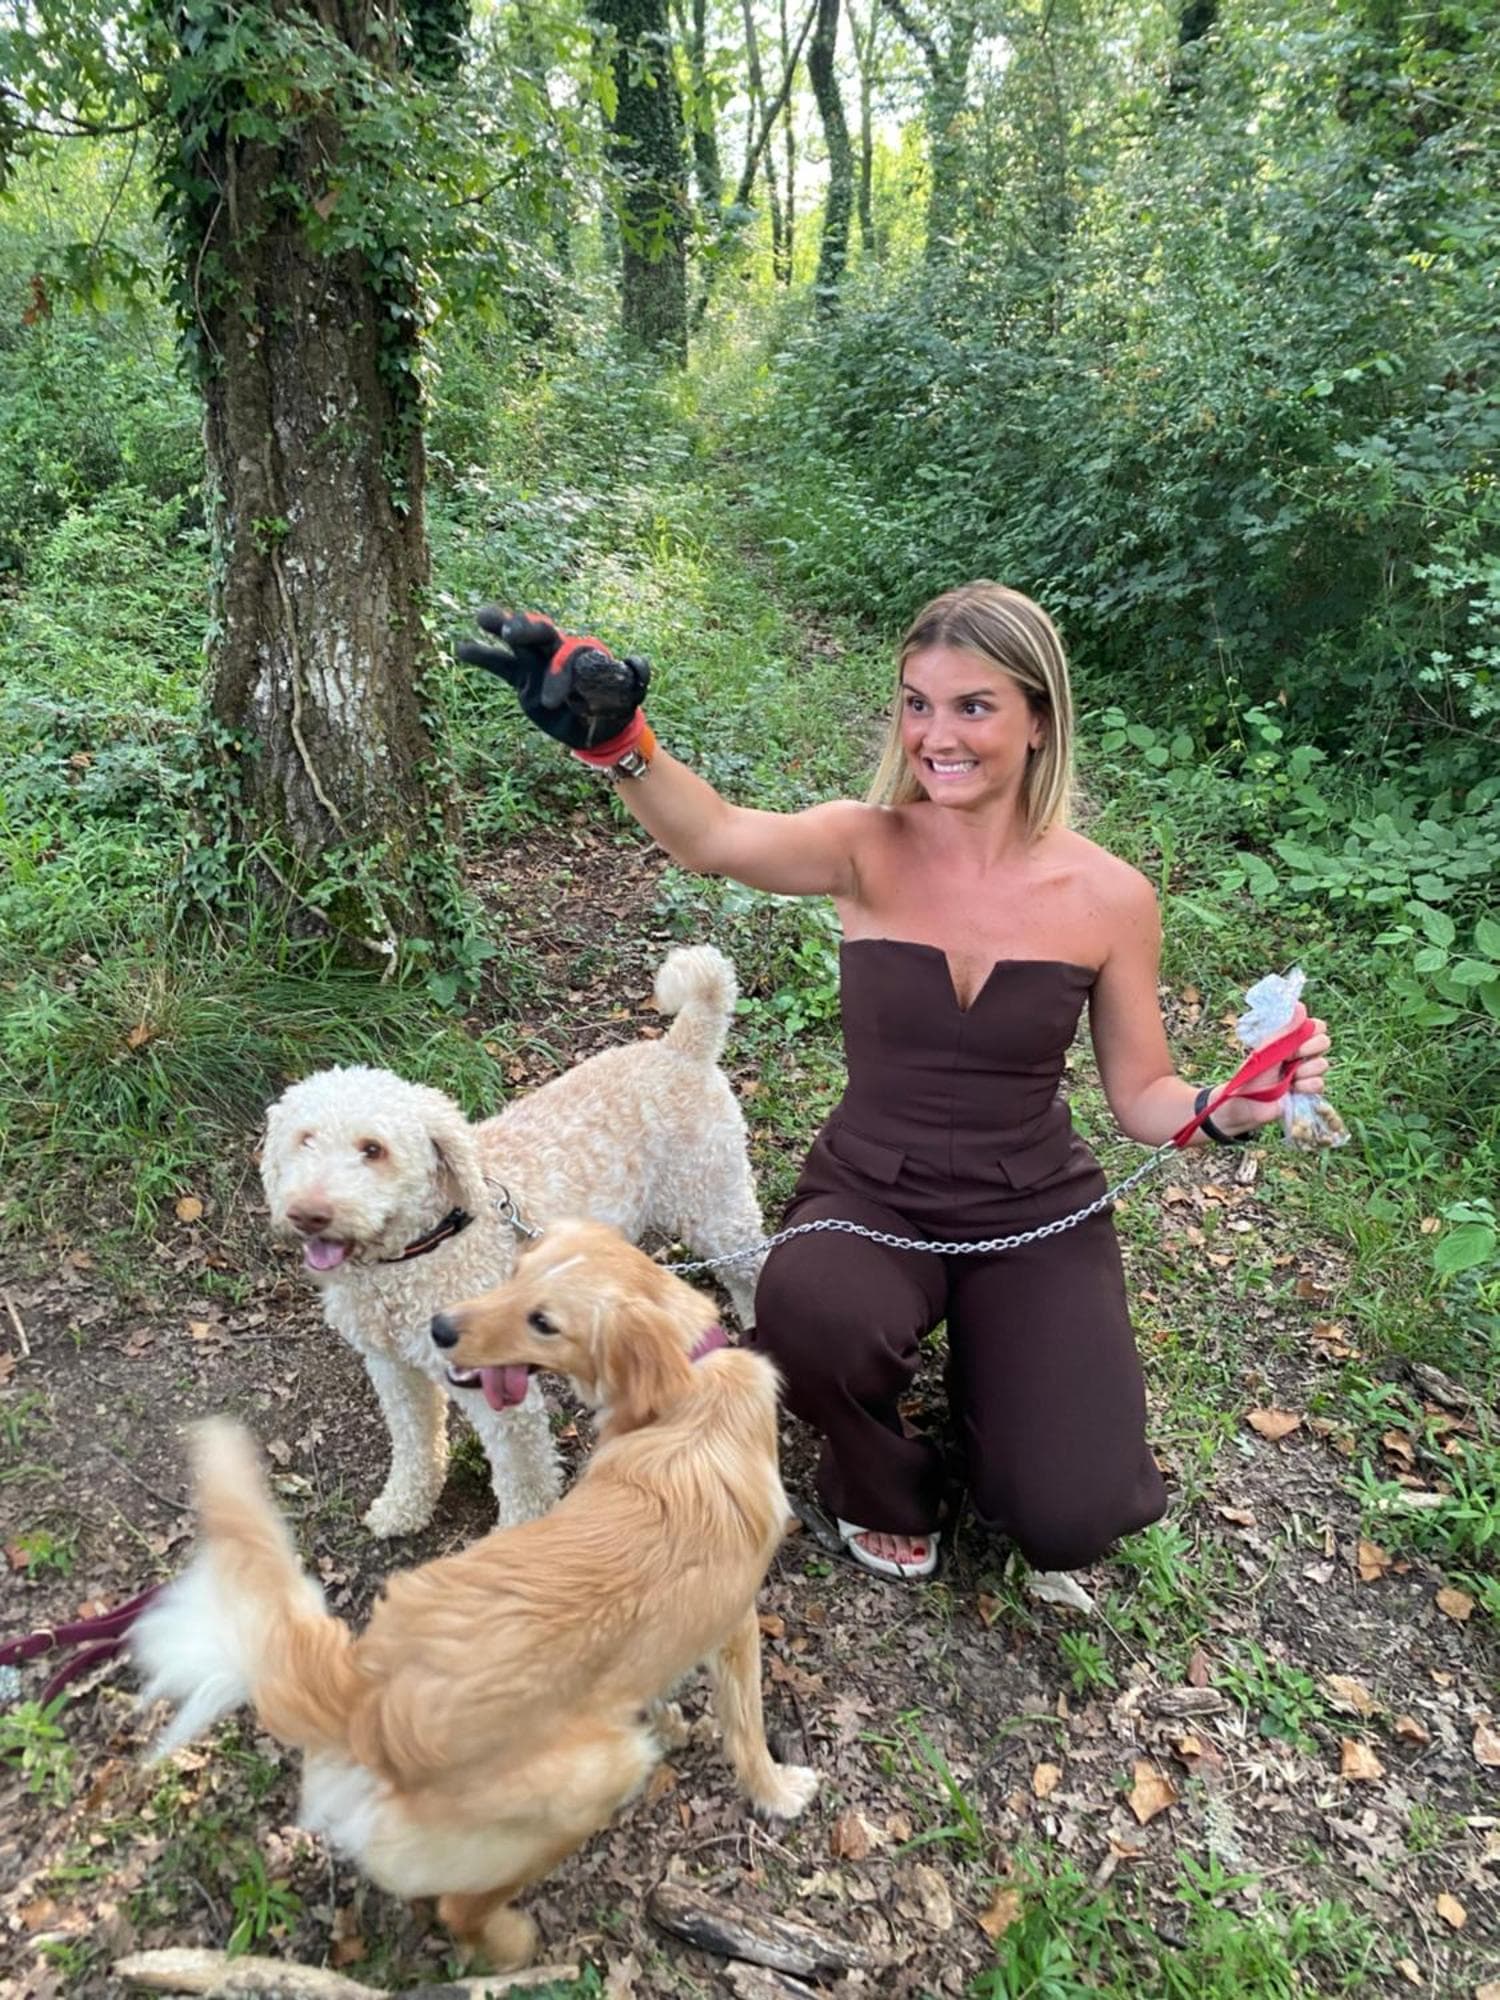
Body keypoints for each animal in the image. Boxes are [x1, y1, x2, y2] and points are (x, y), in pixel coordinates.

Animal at [132, 1221, 817, 1971]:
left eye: (544, 1322)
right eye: (514, 1272)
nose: (439, 1327)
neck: (692, 1384)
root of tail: (370, 1699)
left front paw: (668, 1717)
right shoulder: (737, 1625)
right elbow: (747, 1729)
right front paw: (776, 1792)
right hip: (594, 1778)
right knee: (461, 1907)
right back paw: (512, 1945)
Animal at [259, 945, 765, 1535]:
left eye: (373, 1149)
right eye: (305, 1139)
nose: (308, 1213)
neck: (425, 1247)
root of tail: (681, 1046)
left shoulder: (497, 1387)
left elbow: (523, 1476)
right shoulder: (392, 1369)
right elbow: (414, 1443)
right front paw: (404, 1505)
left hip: (715, 1204)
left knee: (753, 1265)